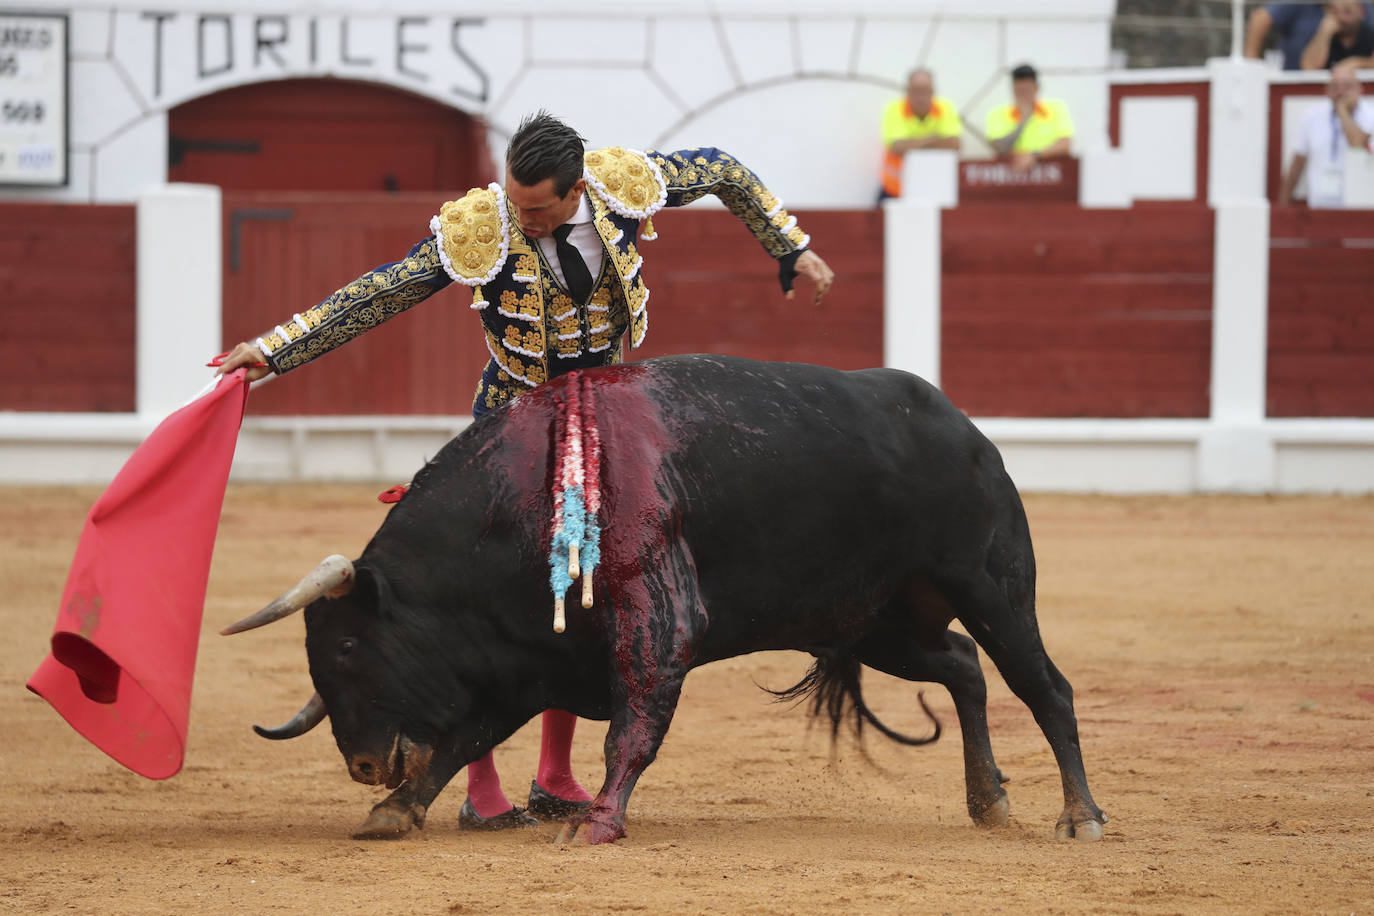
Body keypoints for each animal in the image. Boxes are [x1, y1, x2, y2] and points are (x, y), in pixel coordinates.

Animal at [225, 354, 1104, 845]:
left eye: (347, 646)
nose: (364, 765)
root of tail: (968, 430)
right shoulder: (520, 660)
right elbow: (461, 741)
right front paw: (394, 811)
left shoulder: (658, 625)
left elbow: (633, 730)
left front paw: (599, 823)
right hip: (879, 622)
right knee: (962, 665)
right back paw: (989, 802)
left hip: (992, 586)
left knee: (1044, 686)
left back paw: (1081, 817)